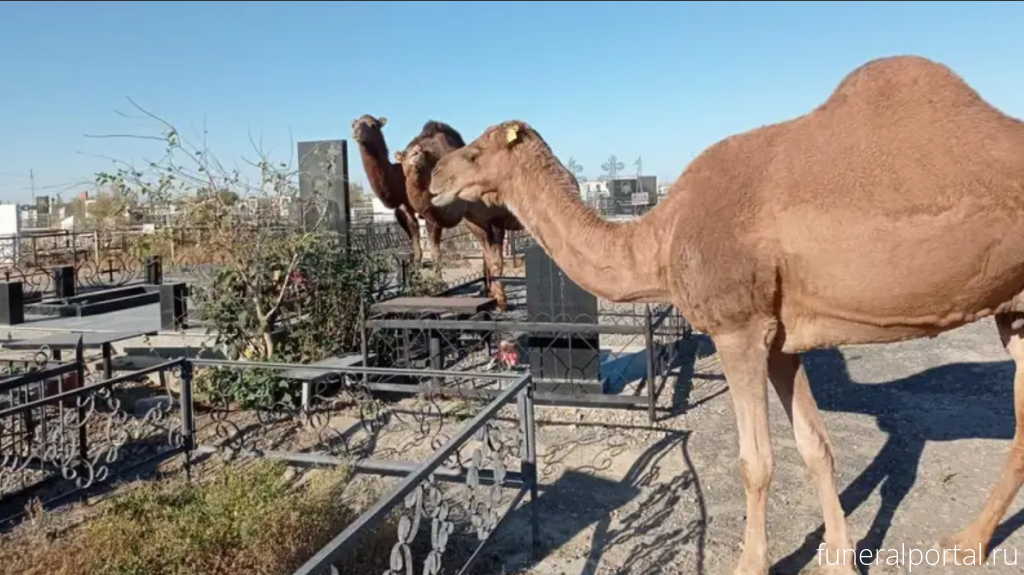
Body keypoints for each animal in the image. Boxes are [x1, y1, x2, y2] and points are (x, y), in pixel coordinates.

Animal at [350, 114, 442, 266]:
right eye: (353, 125)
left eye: (373, 125)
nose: (357, 132)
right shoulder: (404, 207)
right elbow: (413, 229)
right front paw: (417, 261)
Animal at [428, 54, 1024, 572]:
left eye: (475, 152)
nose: (433, 176)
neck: (662, 235)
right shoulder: (781, 340)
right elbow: (816, 447)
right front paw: (838, 559)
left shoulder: (738, 327)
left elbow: (756, 463)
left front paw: (751, 564)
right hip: (1014, 313)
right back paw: (969, 542)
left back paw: (968, 543)